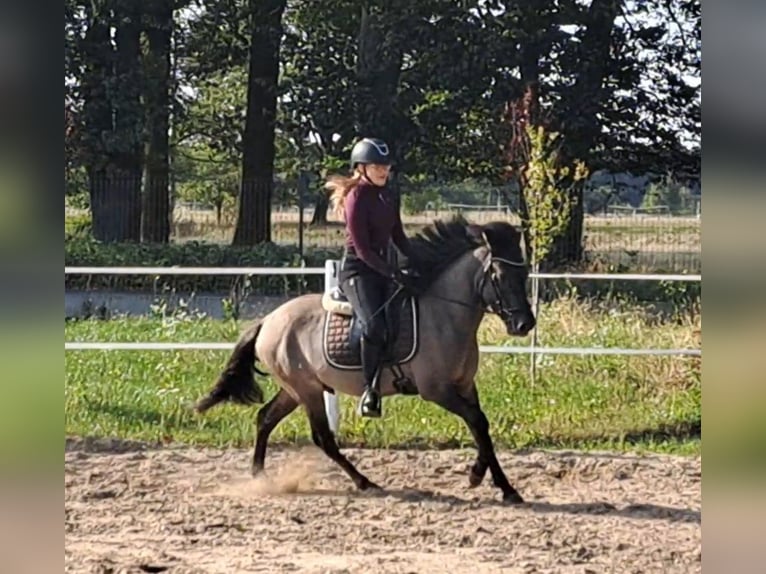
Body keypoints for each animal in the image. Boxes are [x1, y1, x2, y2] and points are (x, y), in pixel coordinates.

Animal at [195, 216, 536, 504]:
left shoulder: (465, 386)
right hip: (306, 390)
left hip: (295, 389)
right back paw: (364, 482)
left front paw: (499, 484)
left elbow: (482, 426)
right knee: (322, 438)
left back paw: (260, 477)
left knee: (265, 418)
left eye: (524, 273)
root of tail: (268, 320)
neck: (444, 313)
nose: (524, 324)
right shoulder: (437, 391)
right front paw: (483, 478)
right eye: (499, 275)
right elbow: (476, 421)